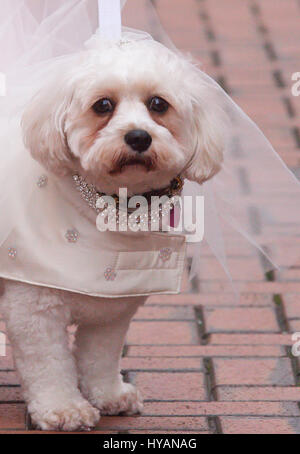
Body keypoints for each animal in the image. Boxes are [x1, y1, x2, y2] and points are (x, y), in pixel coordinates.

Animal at [0, 38, 225, 430]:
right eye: (102, 105)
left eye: (158, 104)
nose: (138, 136)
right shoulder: (34, 310)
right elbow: (49, 365)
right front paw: (64, 408)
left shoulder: (113, 308)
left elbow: (100, 357)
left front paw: (107, 395)